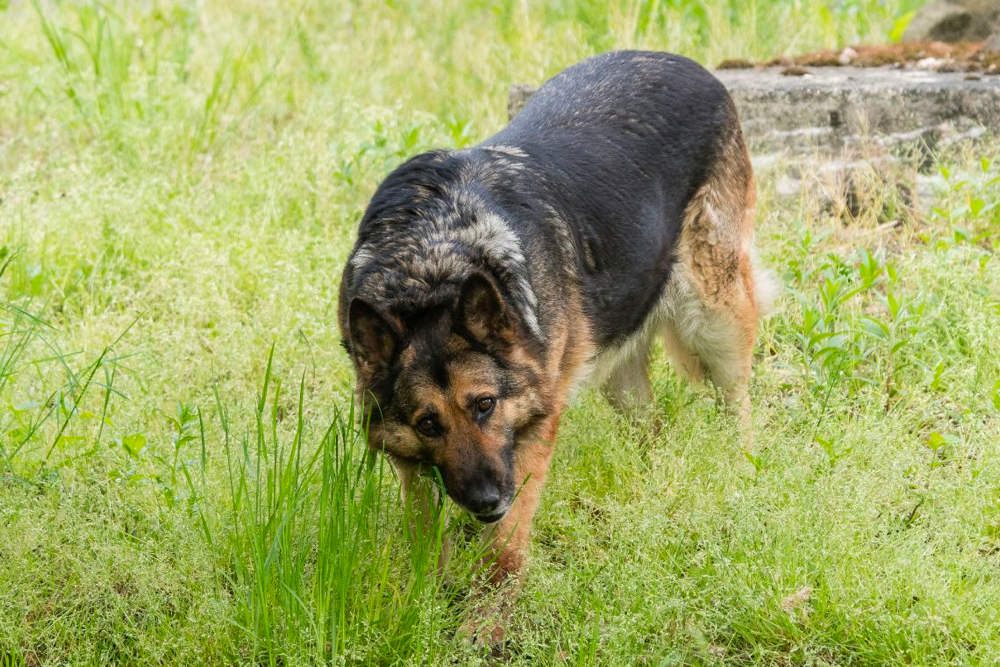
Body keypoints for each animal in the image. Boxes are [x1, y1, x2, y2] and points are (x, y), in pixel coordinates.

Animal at [340, 49, 776, 640]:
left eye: (485, 405)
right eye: (428, 423)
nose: (486, 500)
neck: (432, 261)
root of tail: (688, 63)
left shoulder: (532, 430)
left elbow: (504, 550)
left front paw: (483, 629)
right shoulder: (412, 461)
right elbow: (425, 537)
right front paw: (425, 607)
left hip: (714, 314)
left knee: (738, 405)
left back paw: (742, 473)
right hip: (621, 374)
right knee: (653, 429)